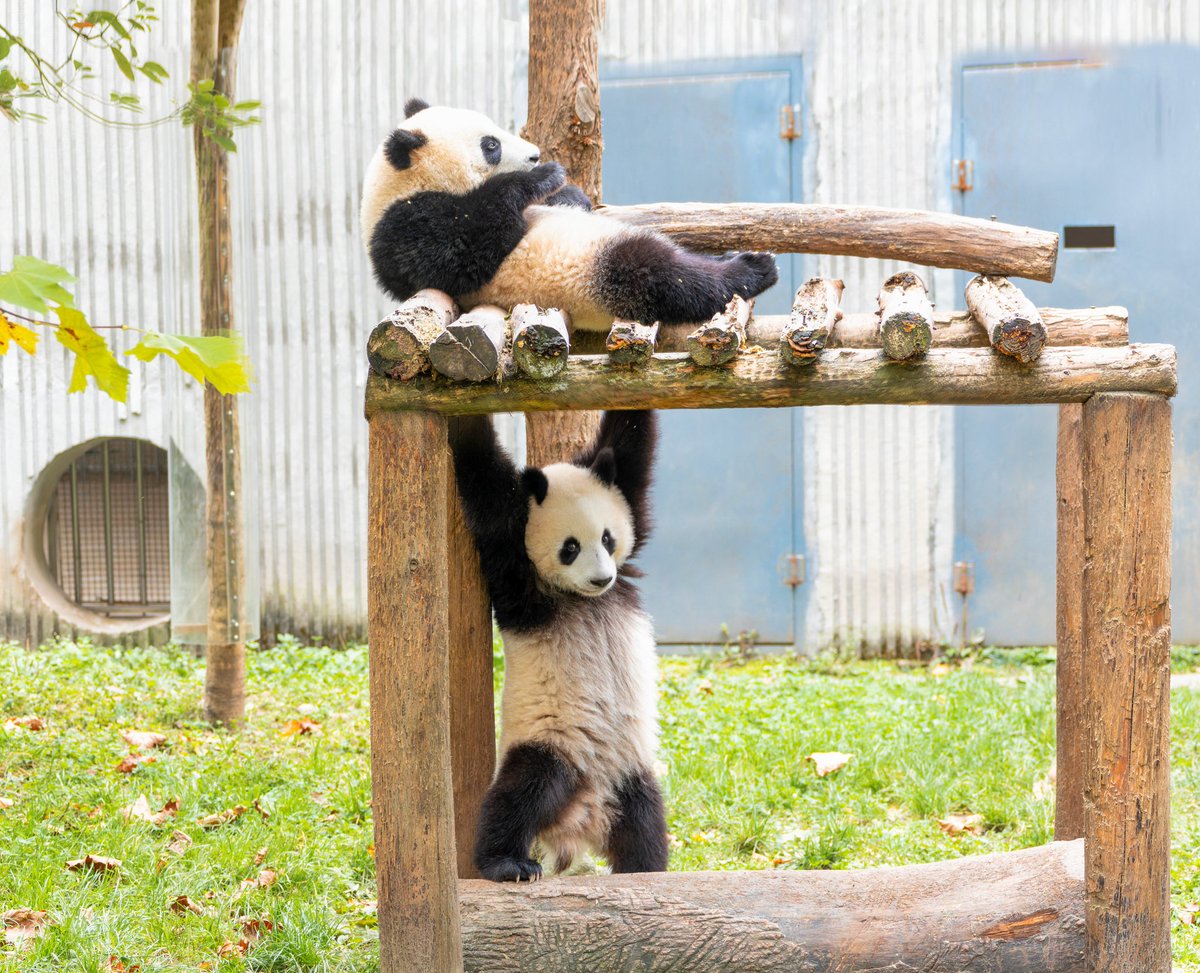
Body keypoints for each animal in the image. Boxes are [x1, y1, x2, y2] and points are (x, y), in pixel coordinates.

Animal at [360, 98, 779, 332]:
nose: (534, 155)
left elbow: (564, 203)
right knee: (662, 276)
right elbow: (461, 252)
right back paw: (751, 269)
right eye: (491, 145)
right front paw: (542, 177)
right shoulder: (402, 228)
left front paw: (568, 192)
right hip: (599, 269)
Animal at [451, 408, 668, 881]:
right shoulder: (517, 573)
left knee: (645, 821)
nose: (602, 579)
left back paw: (645, 868)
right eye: (570, 547)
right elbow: (488, 492)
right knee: (521, 792)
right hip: (553, 741)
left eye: (607, 538)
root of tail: (581, 818)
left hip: (630, 770)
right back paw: (507, 862)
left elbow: (630, 447)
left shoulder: (628, 501)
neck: (580, 598)